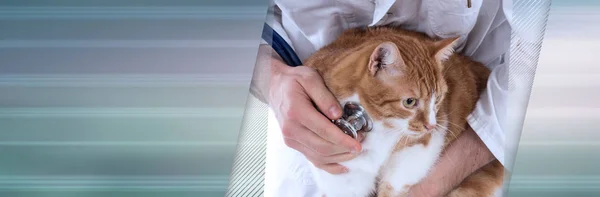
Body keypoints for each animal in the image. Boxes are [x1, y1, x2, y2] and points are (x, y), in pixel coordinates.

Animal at [302, 26, 504, 197]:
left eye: (438, 99)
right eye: (410, 102)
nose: (431, 125)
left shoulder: (420, 148)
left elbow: (394, 184)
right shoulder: (341, 169)